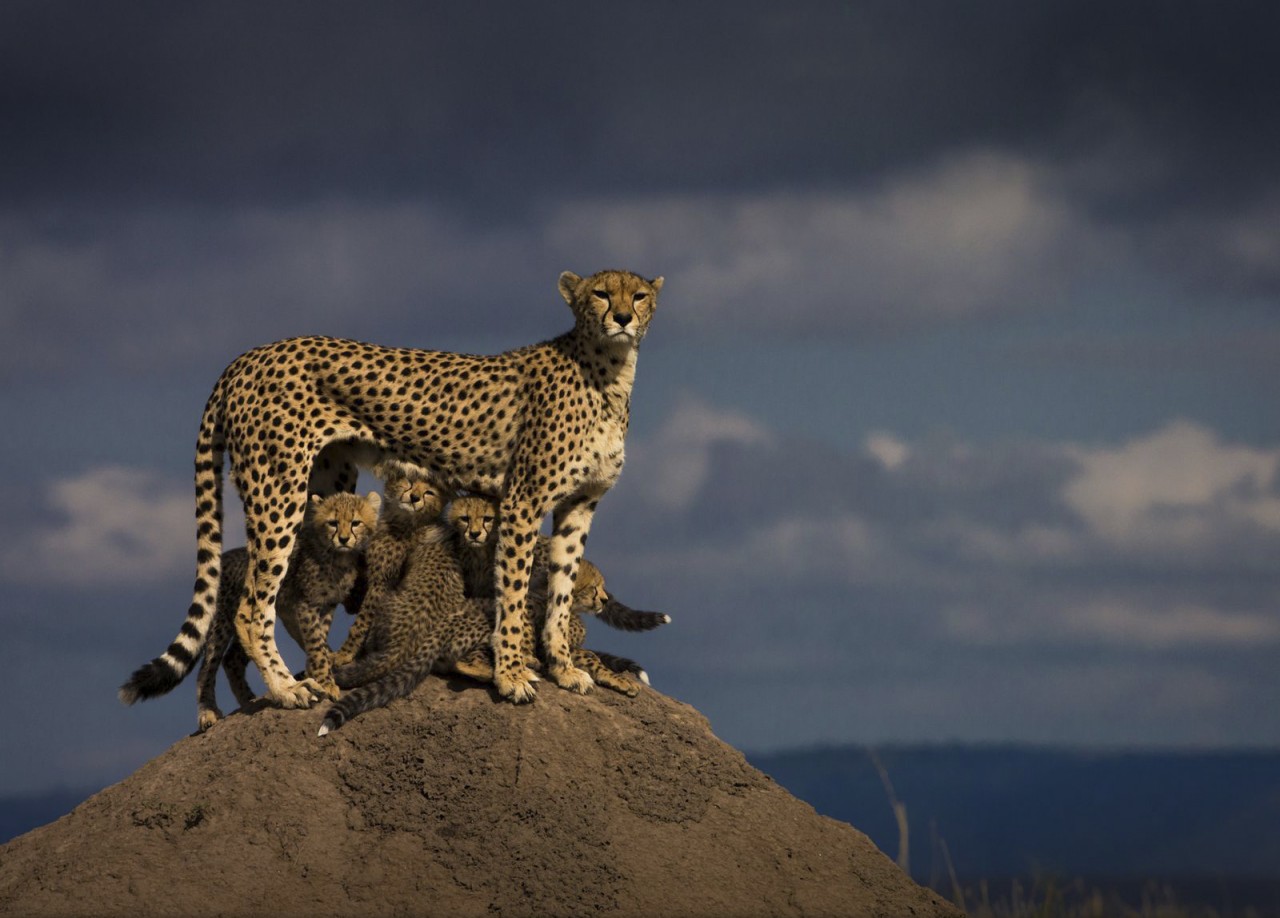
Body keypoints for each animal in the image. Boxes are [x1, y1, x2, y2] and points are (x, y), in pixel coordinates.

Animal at [170, 268, 660, 706]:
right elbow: (514, 592)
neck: (609, 371)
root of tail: (248, 356)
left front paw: (563, 667)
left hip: (326, 485)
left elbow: (561, 588)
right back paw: (287, 688)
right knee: (252, 606)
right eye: (600, 294)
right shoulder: (523, 501)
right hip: (277, 488)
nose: (621, 318)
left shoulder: (578, 505)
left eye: (638, 295)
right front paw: (512, 675)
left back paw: (320, 672)